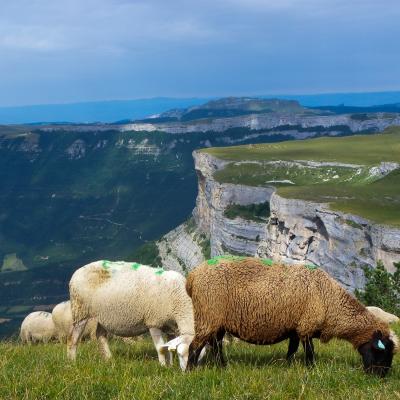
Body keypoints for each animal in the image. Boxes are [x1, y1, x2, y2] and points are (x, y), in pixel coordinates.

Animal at [68, 260, 198, 370]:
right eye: (181, 354)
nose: (188, 371)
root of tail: (77, 272)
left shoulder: (170, 326)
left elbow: (169, 348)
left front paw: (170, 365)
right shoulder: (153, 321)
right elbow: (161, 348)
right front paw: (163, 367)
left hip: (103, 315)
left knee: (100, 336)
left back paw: (108, 359)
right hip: (80, 310)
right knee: (73, 339)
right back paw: (72, 362)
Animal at [186, 258, 398, 376]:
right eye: (381, 351)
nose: (380, 378)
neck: (330, 300)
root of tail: (193, 275)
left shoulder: (296, 328)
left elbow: (292, 349)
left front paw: (287, 366)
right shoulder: (306, 326)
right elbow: (310, 352)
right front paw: (312, 370)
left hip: (217, 321)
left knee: (215, 345)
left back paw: (222, 367)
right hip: (207, 315)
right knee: (194, 346)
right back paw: (189, 372)